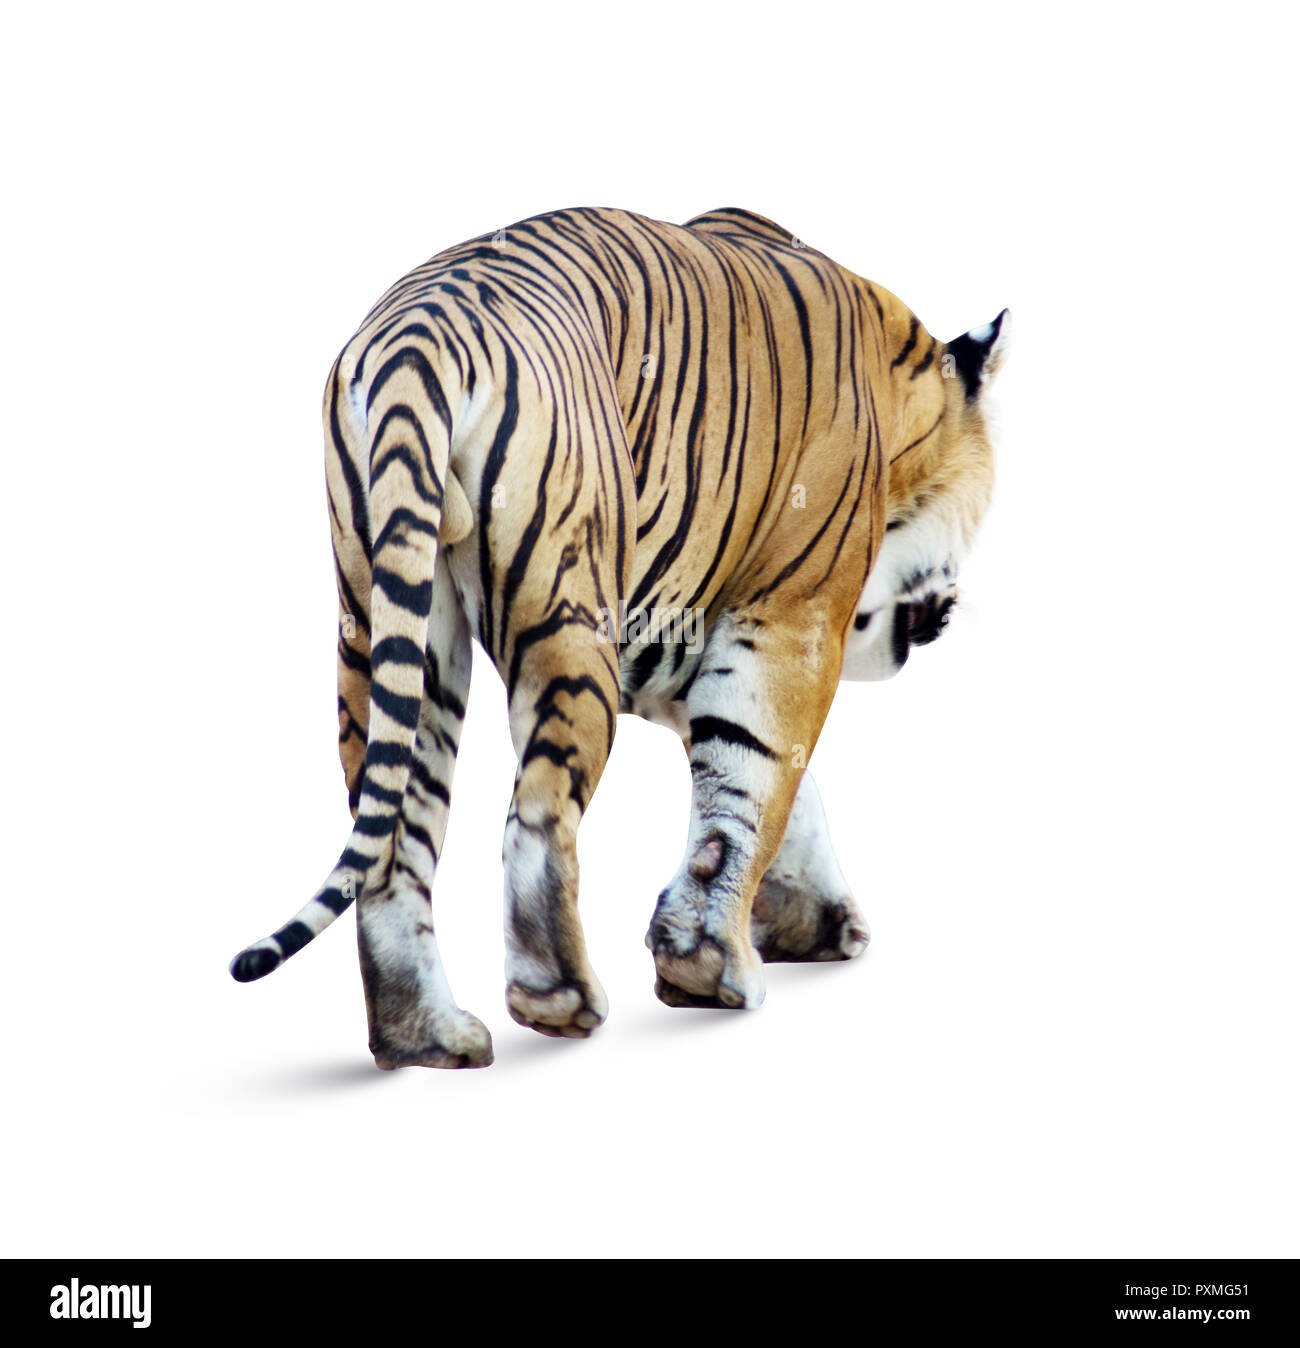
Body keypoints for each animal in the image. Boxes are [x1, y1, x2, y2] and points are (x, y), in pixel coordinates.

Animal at [229, 205, 1009, 1069]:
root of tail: (417, 335)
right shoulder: (791, 621)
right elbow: (759, 779)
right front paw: (712, 964)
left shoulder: (686, 652)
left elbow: (772, 784)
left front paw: (804, 925)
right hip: (568, 624)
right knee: (539, 815)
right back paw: (559, 997)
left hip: (391, 625)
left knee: (393, 840)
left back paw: (426, 1035)